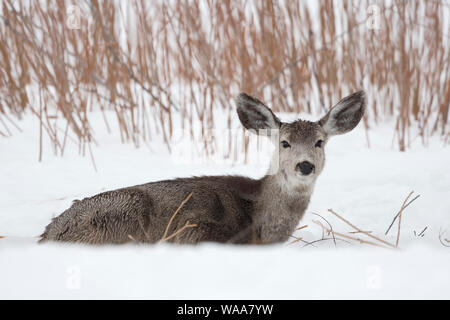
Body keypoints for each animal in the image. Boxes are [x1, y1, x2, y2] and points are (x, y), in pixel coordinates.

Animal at [40, 90, 366, 245]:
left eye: (319, 142)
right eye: (284, 143)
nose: (305, 165)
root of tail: (49, 233)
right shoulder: (194, 231)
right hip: (121, 215)